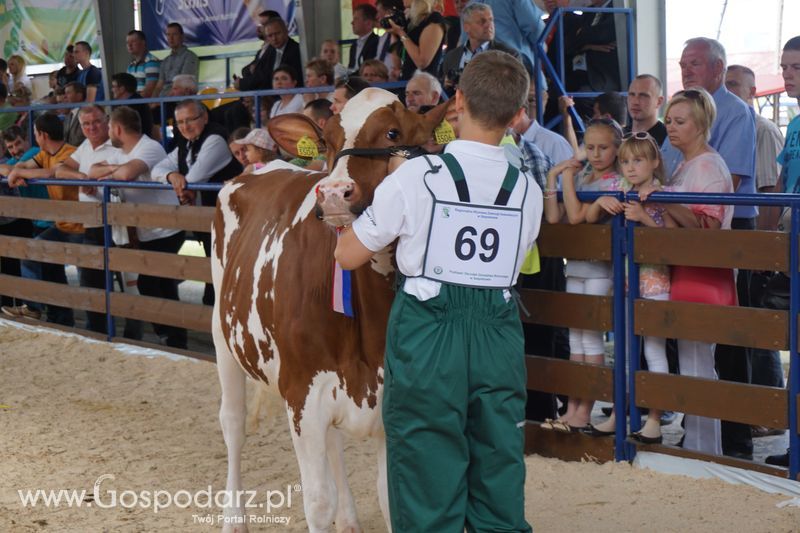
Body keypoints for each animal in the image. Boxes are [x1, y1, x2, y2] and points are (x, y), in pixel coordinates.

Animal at [212, 89, 450, 528]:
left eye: (393, 132)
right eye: (327, 141)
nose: (335, 191)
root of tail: (263, 165)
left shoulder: (390, 403)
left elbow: (390, 499)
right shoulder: (302, 395)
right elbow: (318, 502)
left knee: (334, 443)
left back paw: (349, 518)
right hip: (224, 337)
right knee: (233, 423)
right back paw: (234, 518)